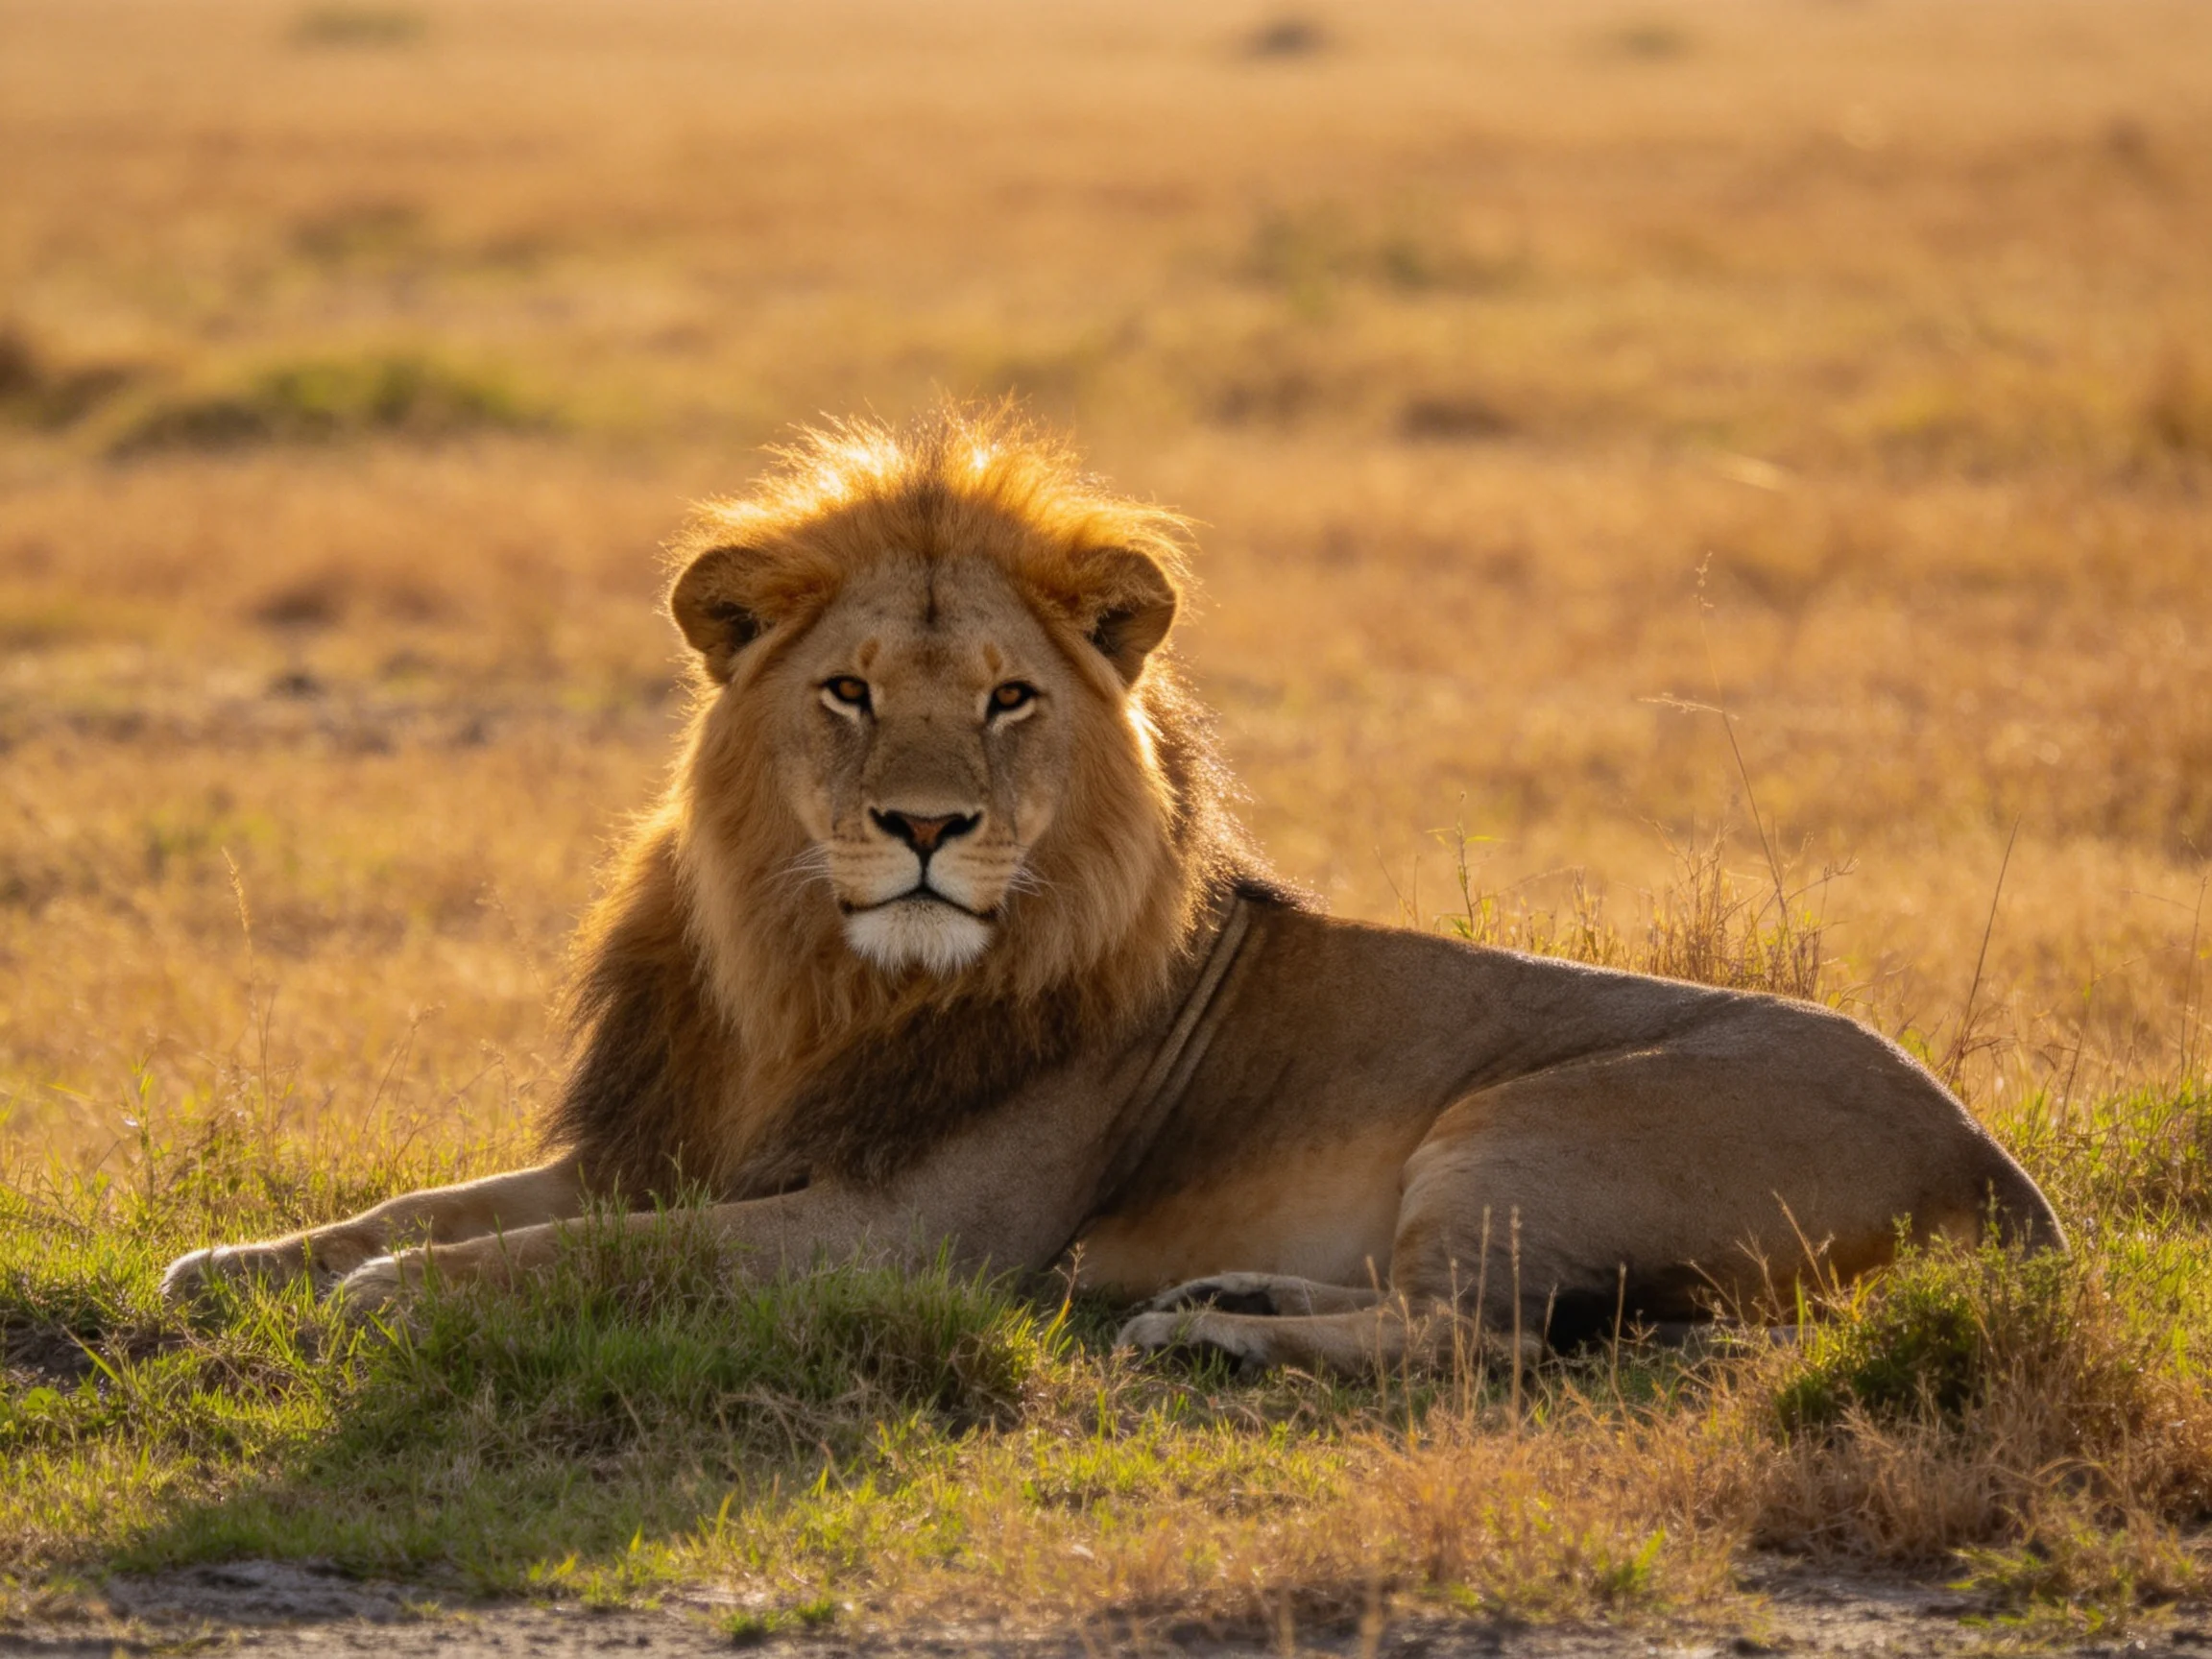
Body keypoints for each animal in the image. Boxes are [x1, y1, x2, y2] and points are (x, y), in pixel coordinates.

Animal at [161, 408, 2062, 1372]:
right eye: (847, 691)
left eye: (1009, 698)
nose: (926, 827)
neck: (813, 984)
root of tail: (2002, 1167)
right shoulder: (673, 1139)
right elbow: (434, 1204)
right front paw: (233, 1265)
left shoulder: (900, 1234)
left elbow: (587, 1260)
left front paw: (384, 1308)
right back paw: (1220, 1306)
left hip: (1525, 1122)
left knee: (1486, 1344)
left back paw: (1209, 1345)